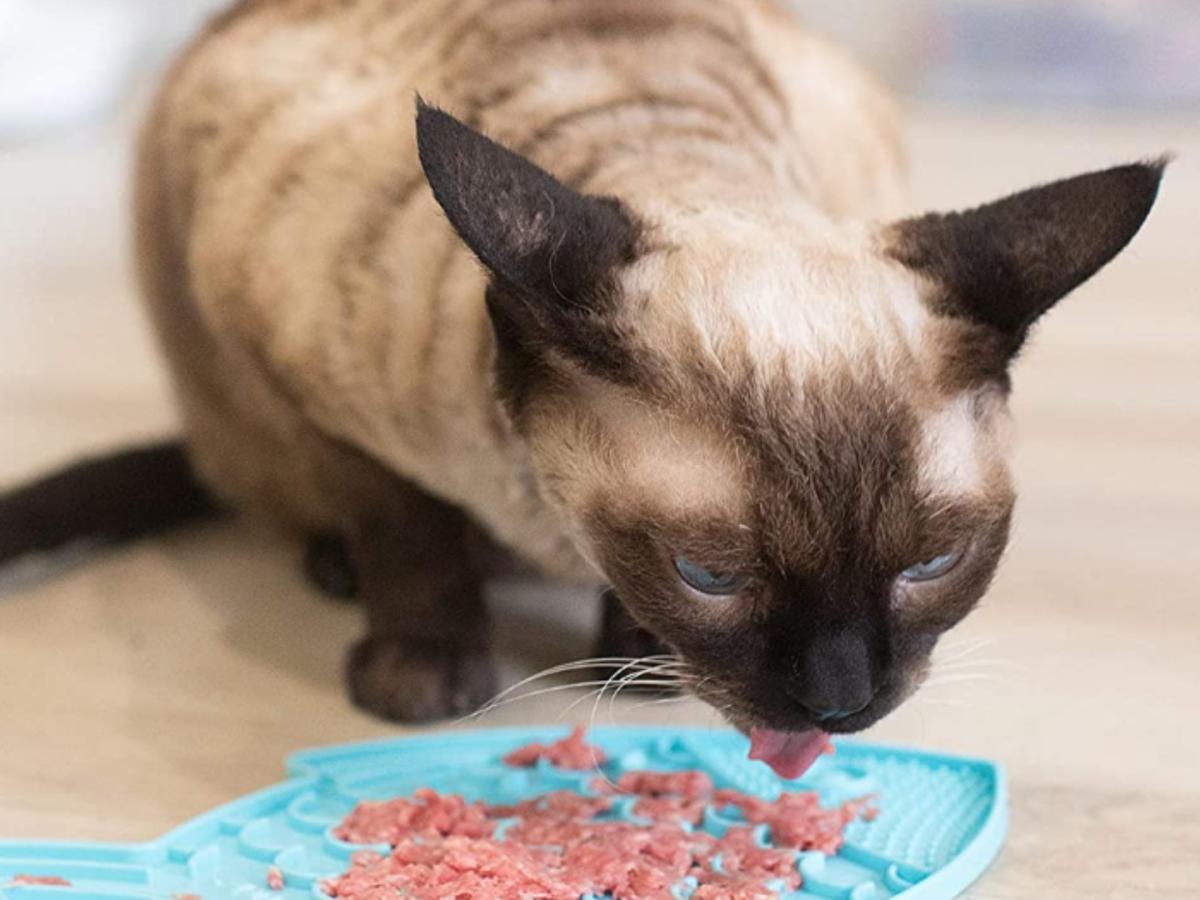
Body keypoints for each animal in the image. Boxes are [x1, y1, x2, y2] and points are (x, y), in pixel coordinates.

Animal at [0, 0, 1161, 777]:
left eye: (933, 564)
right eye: (708, 575)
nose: (841, 704)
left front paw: (637, 661)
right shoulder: (315, 398)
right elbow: (406, 530)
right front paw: (424, 677)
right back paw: (336, 569)